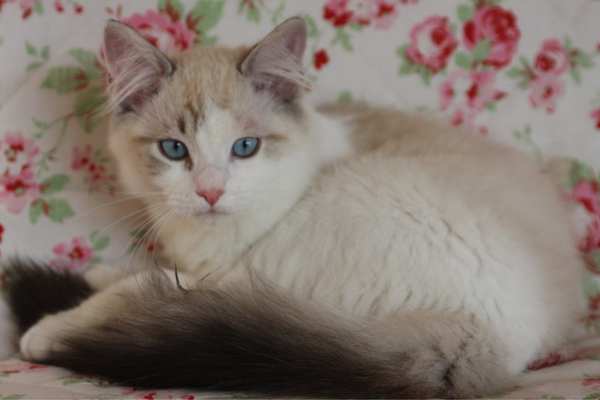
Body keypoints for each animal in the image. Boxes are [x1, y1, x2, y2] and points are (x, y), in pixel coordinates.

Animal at [1, 16, 592, 400]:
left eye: (245, 147)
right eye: (174, 149)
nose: (210, 192)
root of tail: (493, 339)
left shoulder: (222, 269)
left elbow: (138, 285)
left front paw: (51, 325)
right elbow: (135, 272)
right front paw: (94, 273)